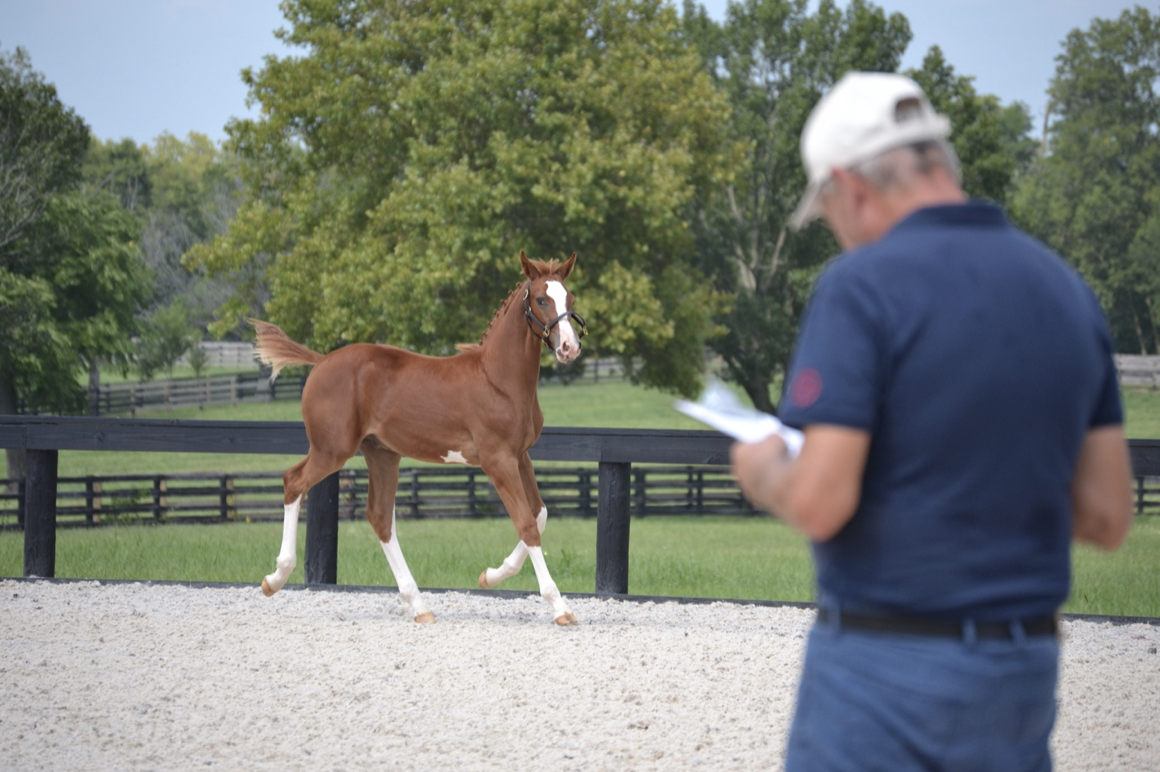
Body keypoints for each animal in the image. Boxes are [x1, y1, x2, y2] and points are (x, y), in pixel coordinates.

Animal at [250, 252, 584, 625]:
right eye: (541, 299)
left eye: (570, 299)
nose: (570, 347)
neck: (499, 380)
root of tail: (321, 361)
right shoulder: (497, 460)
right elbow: (527, 524)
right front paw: (560, 606)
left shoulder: (521, 455)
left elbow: (540, 514)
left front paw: (491, 575)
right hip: (331, 449)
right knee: (294, 481)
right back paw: (275, 578)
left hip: (381, 454)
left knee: (380, 517)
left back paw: (419, 605)